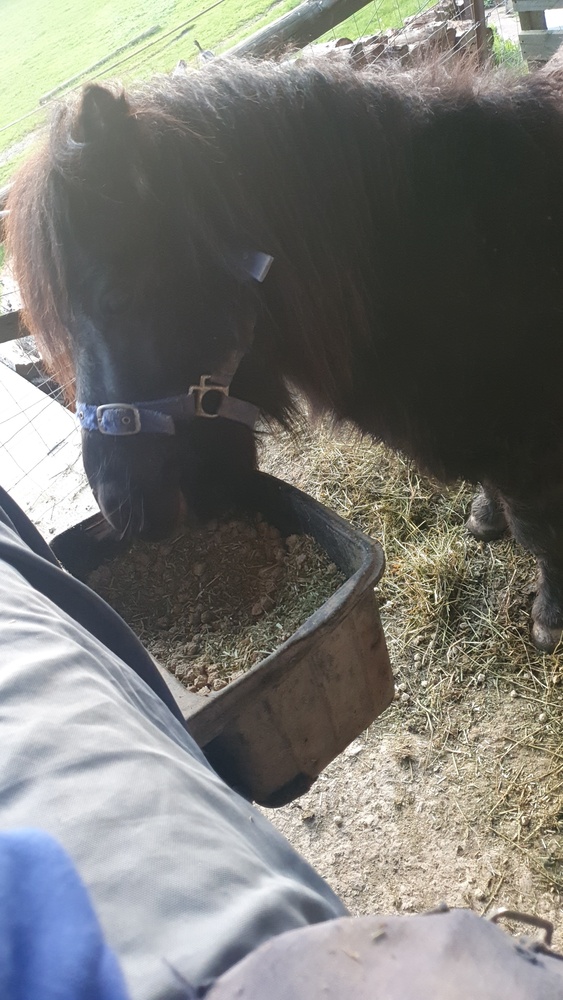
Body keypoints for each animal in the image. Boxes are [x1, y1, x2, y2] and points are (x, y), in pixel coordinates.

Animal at [7, 58, 563, 652]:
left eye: (117, 299)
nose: (118, 506)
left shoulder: (528, 441)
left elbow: (538, 524)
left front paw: (550, 614)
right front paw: (487, 517)